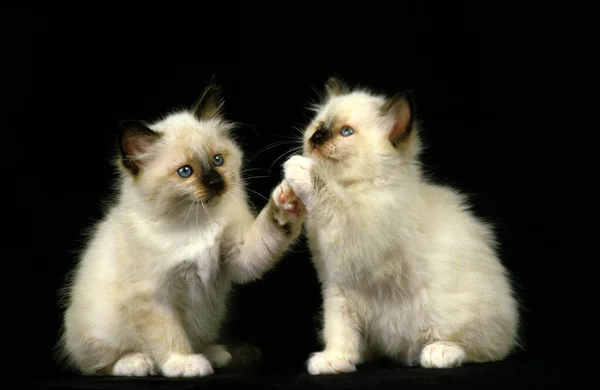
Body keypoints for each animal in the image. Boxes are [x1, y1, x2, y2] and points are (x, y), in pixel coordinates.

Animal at [58, 83, 304, 378]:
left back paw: (214, 353)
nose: (215, 183)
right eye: (185, 172)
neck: (195, 223)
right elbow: (168, 334)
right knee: (95, 364)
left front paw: (286, 202)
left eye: (217, 161)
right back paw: (136, 362)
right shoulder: (151, 297)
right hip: (96, 330)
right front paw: (183, 363)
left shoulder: (238, 257)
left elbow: (267, 233)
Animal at [282, 77, 520, 374]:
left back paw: (438, 352)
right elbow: (339, 330)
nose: (316, 138)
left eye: (346, 132)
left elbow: (331, 201)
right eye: (320, 126)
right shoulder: (336, 287)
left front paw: (301, 170)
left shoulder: (357, 245)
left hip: (456, 314)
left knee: (487, 349)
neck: (352, 189)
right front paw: (336, 360)